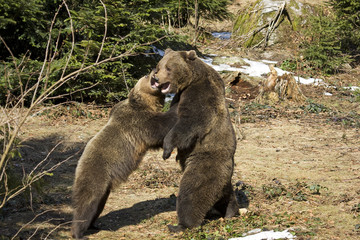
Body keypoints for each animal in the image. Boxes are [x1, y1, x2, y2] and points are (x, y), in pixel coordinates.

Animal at [70, 74, 177, 239]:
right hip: (96, 172)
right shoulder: (138, 121)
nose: (153, 72)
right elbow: (158, 127)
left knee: (98, 205)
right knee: (87, 201)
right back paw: (79, 232)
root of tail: (78, 165)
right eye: (146, 75)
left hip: (105, 187)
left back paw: (94, 225)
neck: (147, 103)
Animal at [153, 47, 239, 232]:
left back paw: (182, 225)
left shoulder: (201, 95)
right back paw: (231, 212)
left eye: (168, 68)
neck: (191, 80)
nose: (156, 78)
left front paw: (166, 150)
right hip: (222, 180)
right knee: (226, 196)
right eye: (158, 66)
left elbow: (189, 124)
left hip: (205, 163)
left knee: (192, 192)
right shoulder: (179, 97)